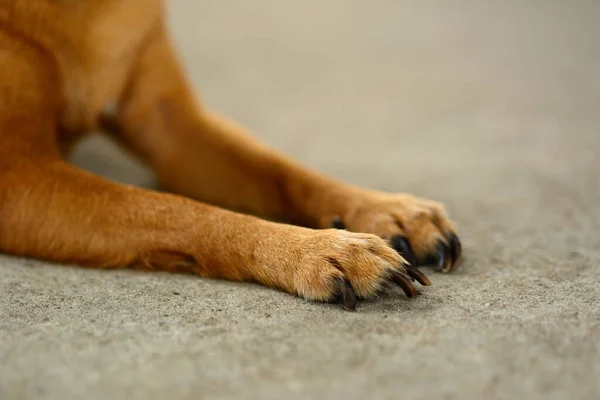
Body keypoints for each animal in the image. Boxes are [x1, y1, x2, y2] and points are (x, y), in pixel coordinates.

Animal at [0, 0, 462, 310]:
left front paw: (386, 210)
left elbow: (283, 171)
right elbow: (180, 210)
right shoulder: (16, 183)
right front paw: (315, 250)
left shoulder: (175, 130)